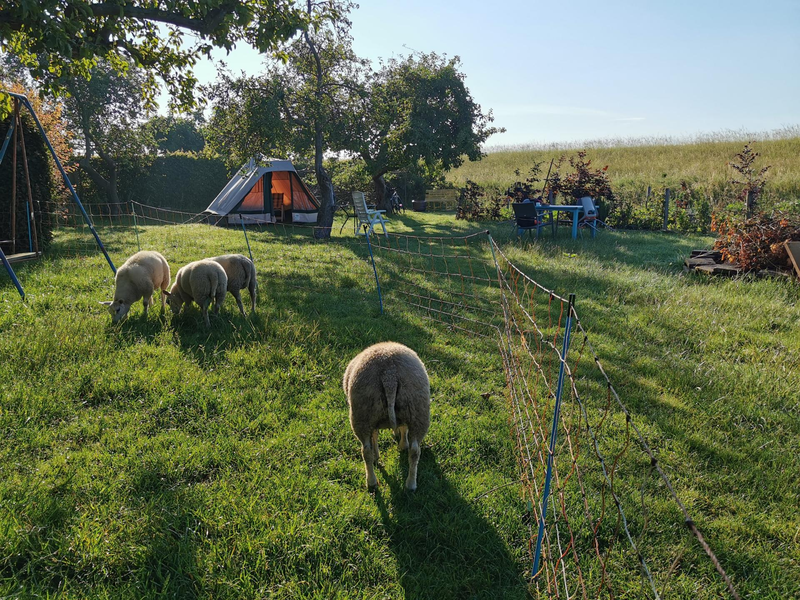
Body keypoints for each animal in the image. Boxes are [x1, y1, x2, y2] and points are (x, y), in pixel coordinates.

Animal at [344, 342, 432, 492]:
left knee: (366, 451)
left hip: (361, 414)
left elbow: (375, 435)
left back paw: (371, 481)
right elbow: (402, 428)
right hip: (417, 410)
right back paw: (410, 485)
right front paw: (403, 444)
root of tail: (389, 374)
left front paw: (378, 454)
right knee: (415, 451)